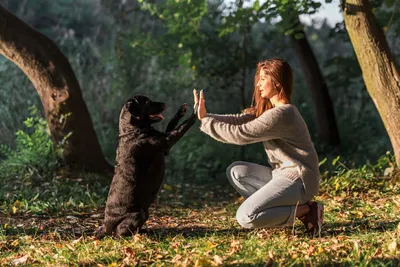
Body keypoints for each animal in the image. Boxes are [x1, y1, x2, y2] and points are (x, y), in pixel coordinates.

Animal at [97, 95, 197, 238]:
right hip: (138, 214)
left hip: (145, 213)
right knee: (120, 234)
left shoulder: (165, 148)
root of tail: (106, 227)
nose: (164, 103)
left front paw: (181, 110)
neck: (134, 130)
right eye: (148, 102)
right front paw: (196, 113)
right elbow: (182, 127)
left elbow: (171, 124)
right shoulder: (167, 141)